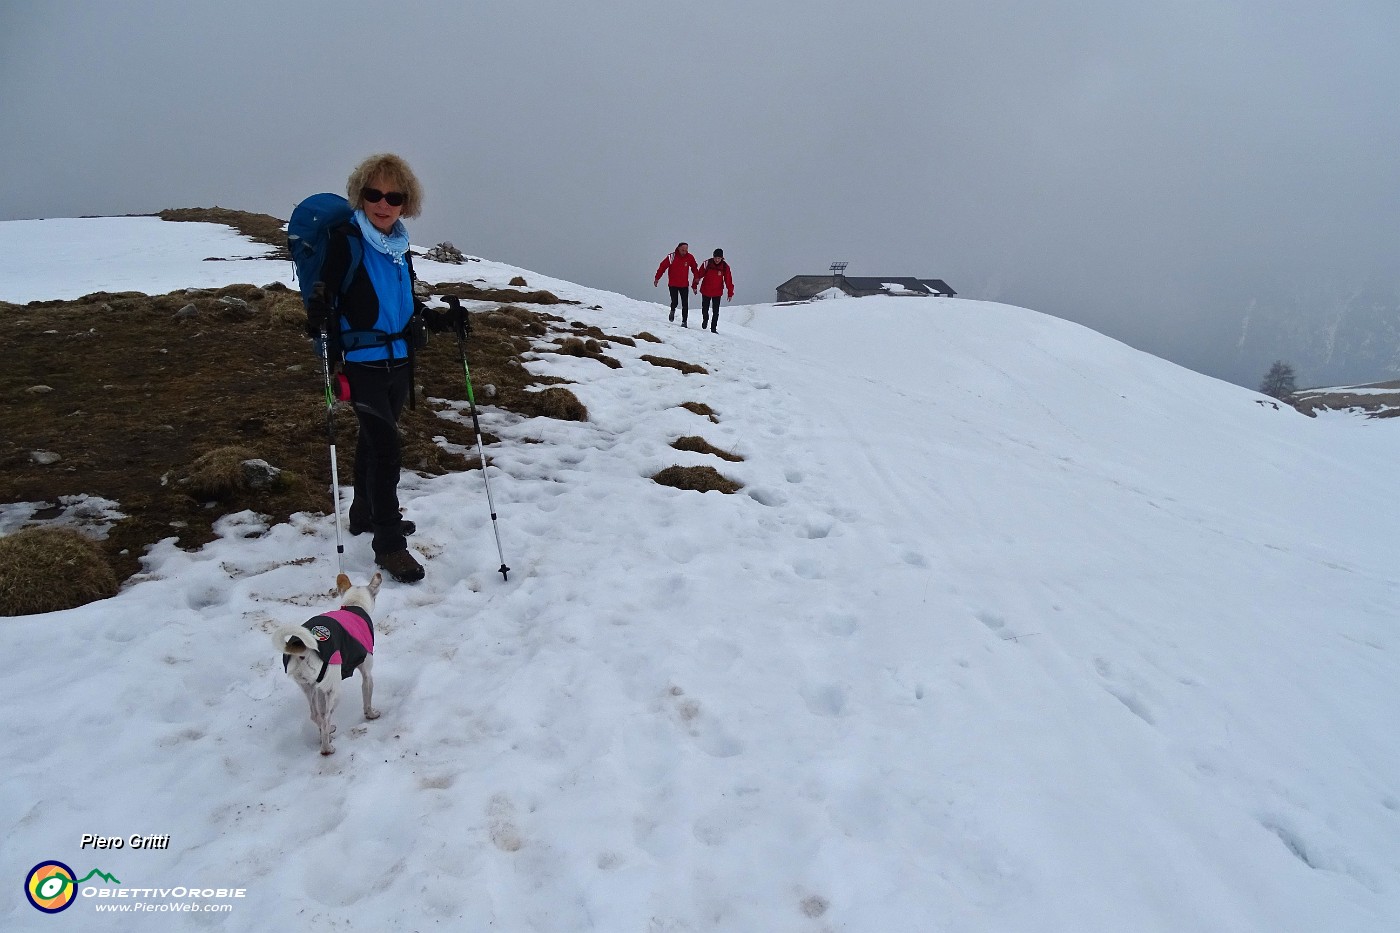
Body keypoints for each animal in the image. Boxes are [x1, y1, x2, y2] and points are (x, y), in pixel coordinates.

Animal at [271, 571, 383, 750]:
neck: (353, 606)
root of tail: (302, 647)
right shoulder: (367, 674)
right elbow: (367, 698)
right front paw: (371, 714)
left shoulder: (320, 689)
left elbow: (320, 712)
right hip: (335, 691)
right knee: (325, 718)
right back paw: (327, 748)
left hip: (309, 687)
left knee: (316, 715)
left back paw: (328, 731)